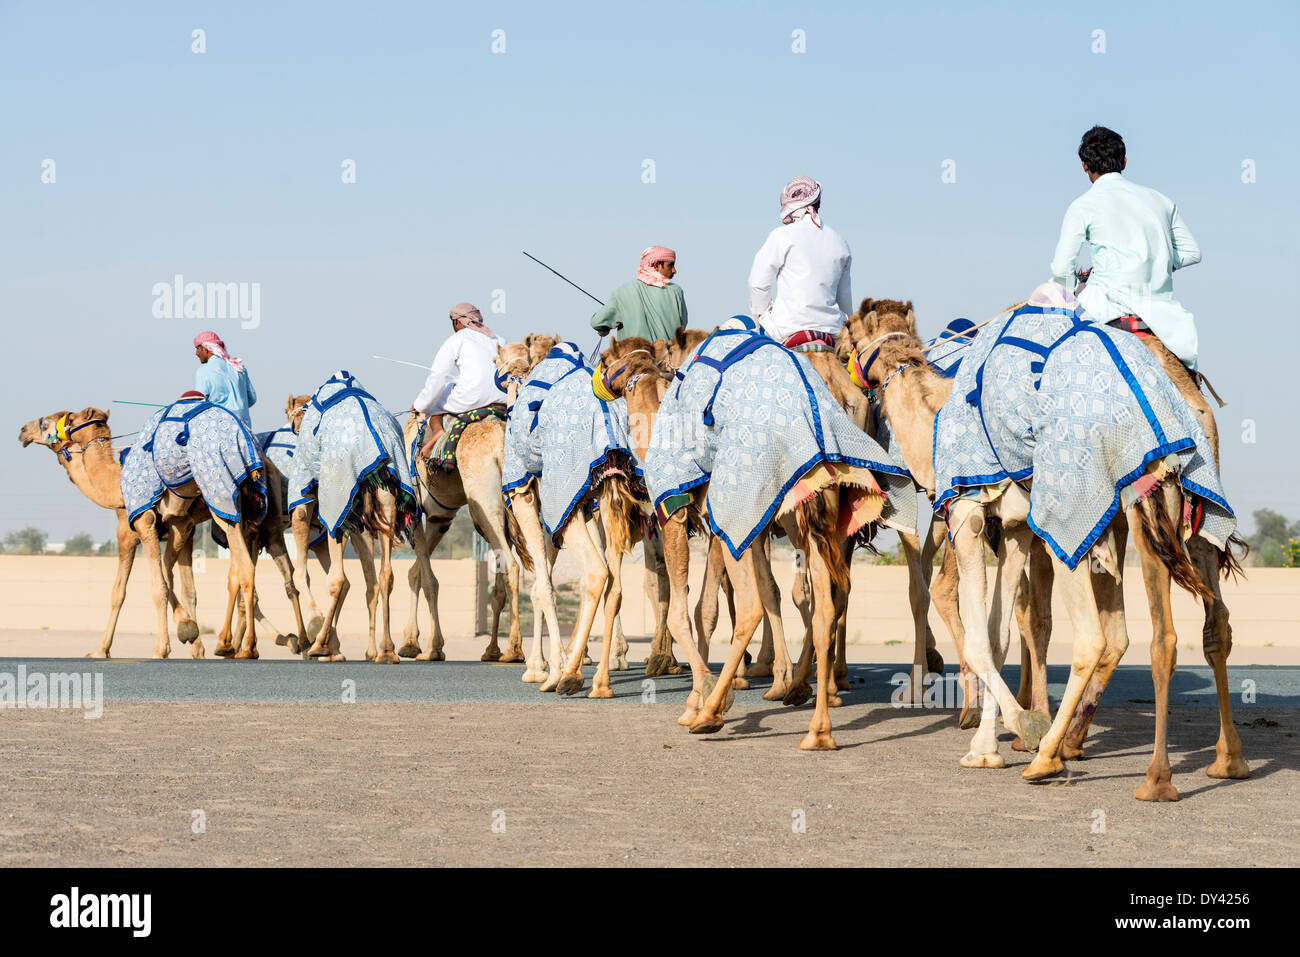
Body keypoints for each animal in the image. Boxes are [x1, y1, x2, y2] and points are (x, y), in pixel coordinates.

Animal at [842, 293, 1248, 800]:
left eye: (847, 332)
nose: (836, 354)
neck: (931, 419)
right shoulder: (1015, 527)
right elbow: (998, 634)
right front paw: (987, 746)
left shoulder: (969, 515)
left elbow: (984, 631)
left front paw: (1015, 728)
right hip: (1175, 510)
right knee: (1196, 629)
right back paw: (1212, 763)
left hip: (1080, 513)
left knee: (1096, 635)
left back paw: (1056, 756)